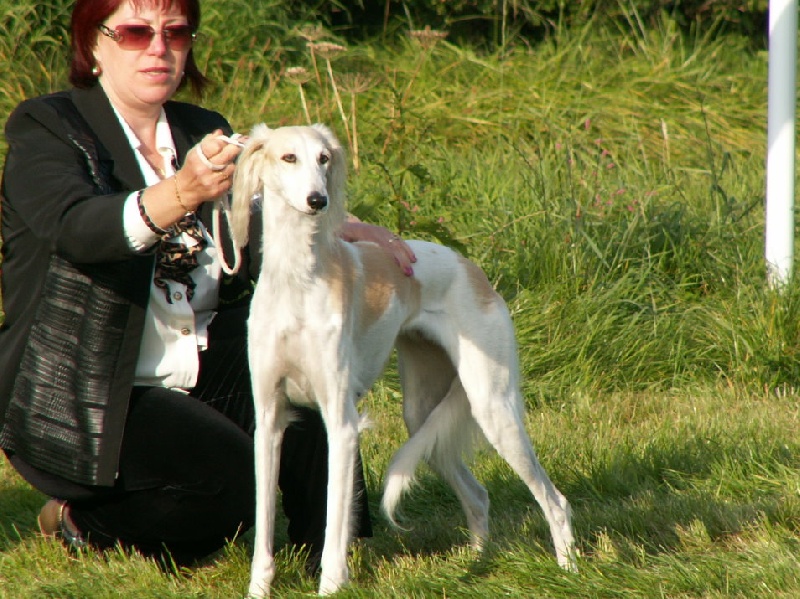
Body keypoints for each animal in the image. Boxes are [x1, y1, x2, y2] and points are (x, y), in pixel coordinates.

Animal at [222, 124, 577, 597]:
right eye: (288, 158)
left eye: (324, 159)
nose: (319, 201)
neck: (299, 279)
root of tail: (470, 267)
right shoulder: (269, 421)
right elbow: (263, 527)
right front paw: (259, 589)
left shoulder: (342, 425)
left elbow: (336, 525)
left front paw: (332, 584)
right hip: (422, 414)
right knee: (478, 495)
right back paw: (475, 564)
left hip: (492, 405)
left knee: (554, 501)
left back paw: (569, 569)